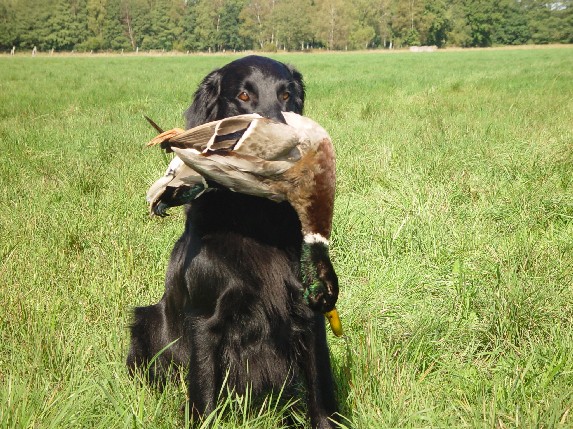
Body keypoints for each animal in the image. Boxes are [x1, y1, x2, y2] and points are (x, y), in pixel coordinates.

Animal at [127, 56, 340, 429]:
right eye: (243, 95)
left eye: (287, 95)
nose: (285, 145)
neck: (255, 220)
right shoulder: (204, 320)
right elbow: (204, 397)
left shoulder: (307, 318)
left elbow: (321, 395)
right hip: (145, 321)